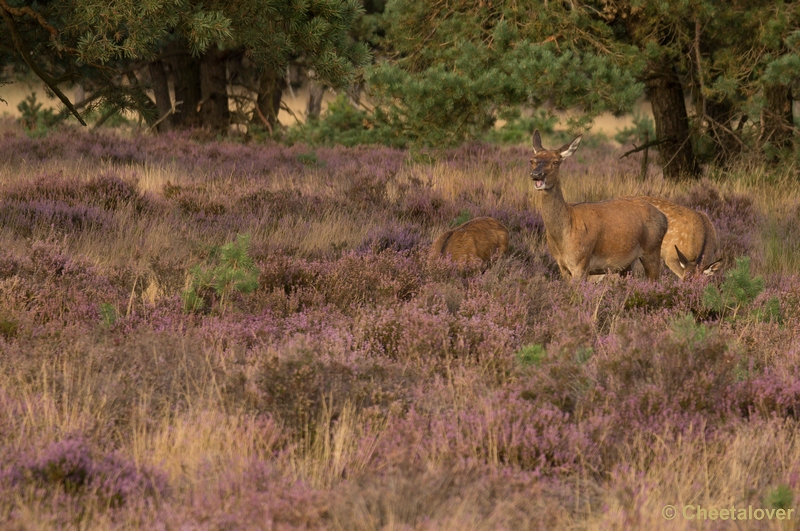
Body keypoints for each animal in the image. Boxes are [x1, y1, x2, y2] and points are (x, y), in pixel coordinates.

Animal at [532, 130, 668, 282]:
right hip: (627, 264)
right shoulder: (562, 266)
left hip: (652, 250)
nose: (536, 174)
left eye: (556, 162)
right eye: (532, 160)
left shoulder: (581, 262)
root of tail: (664, 218)